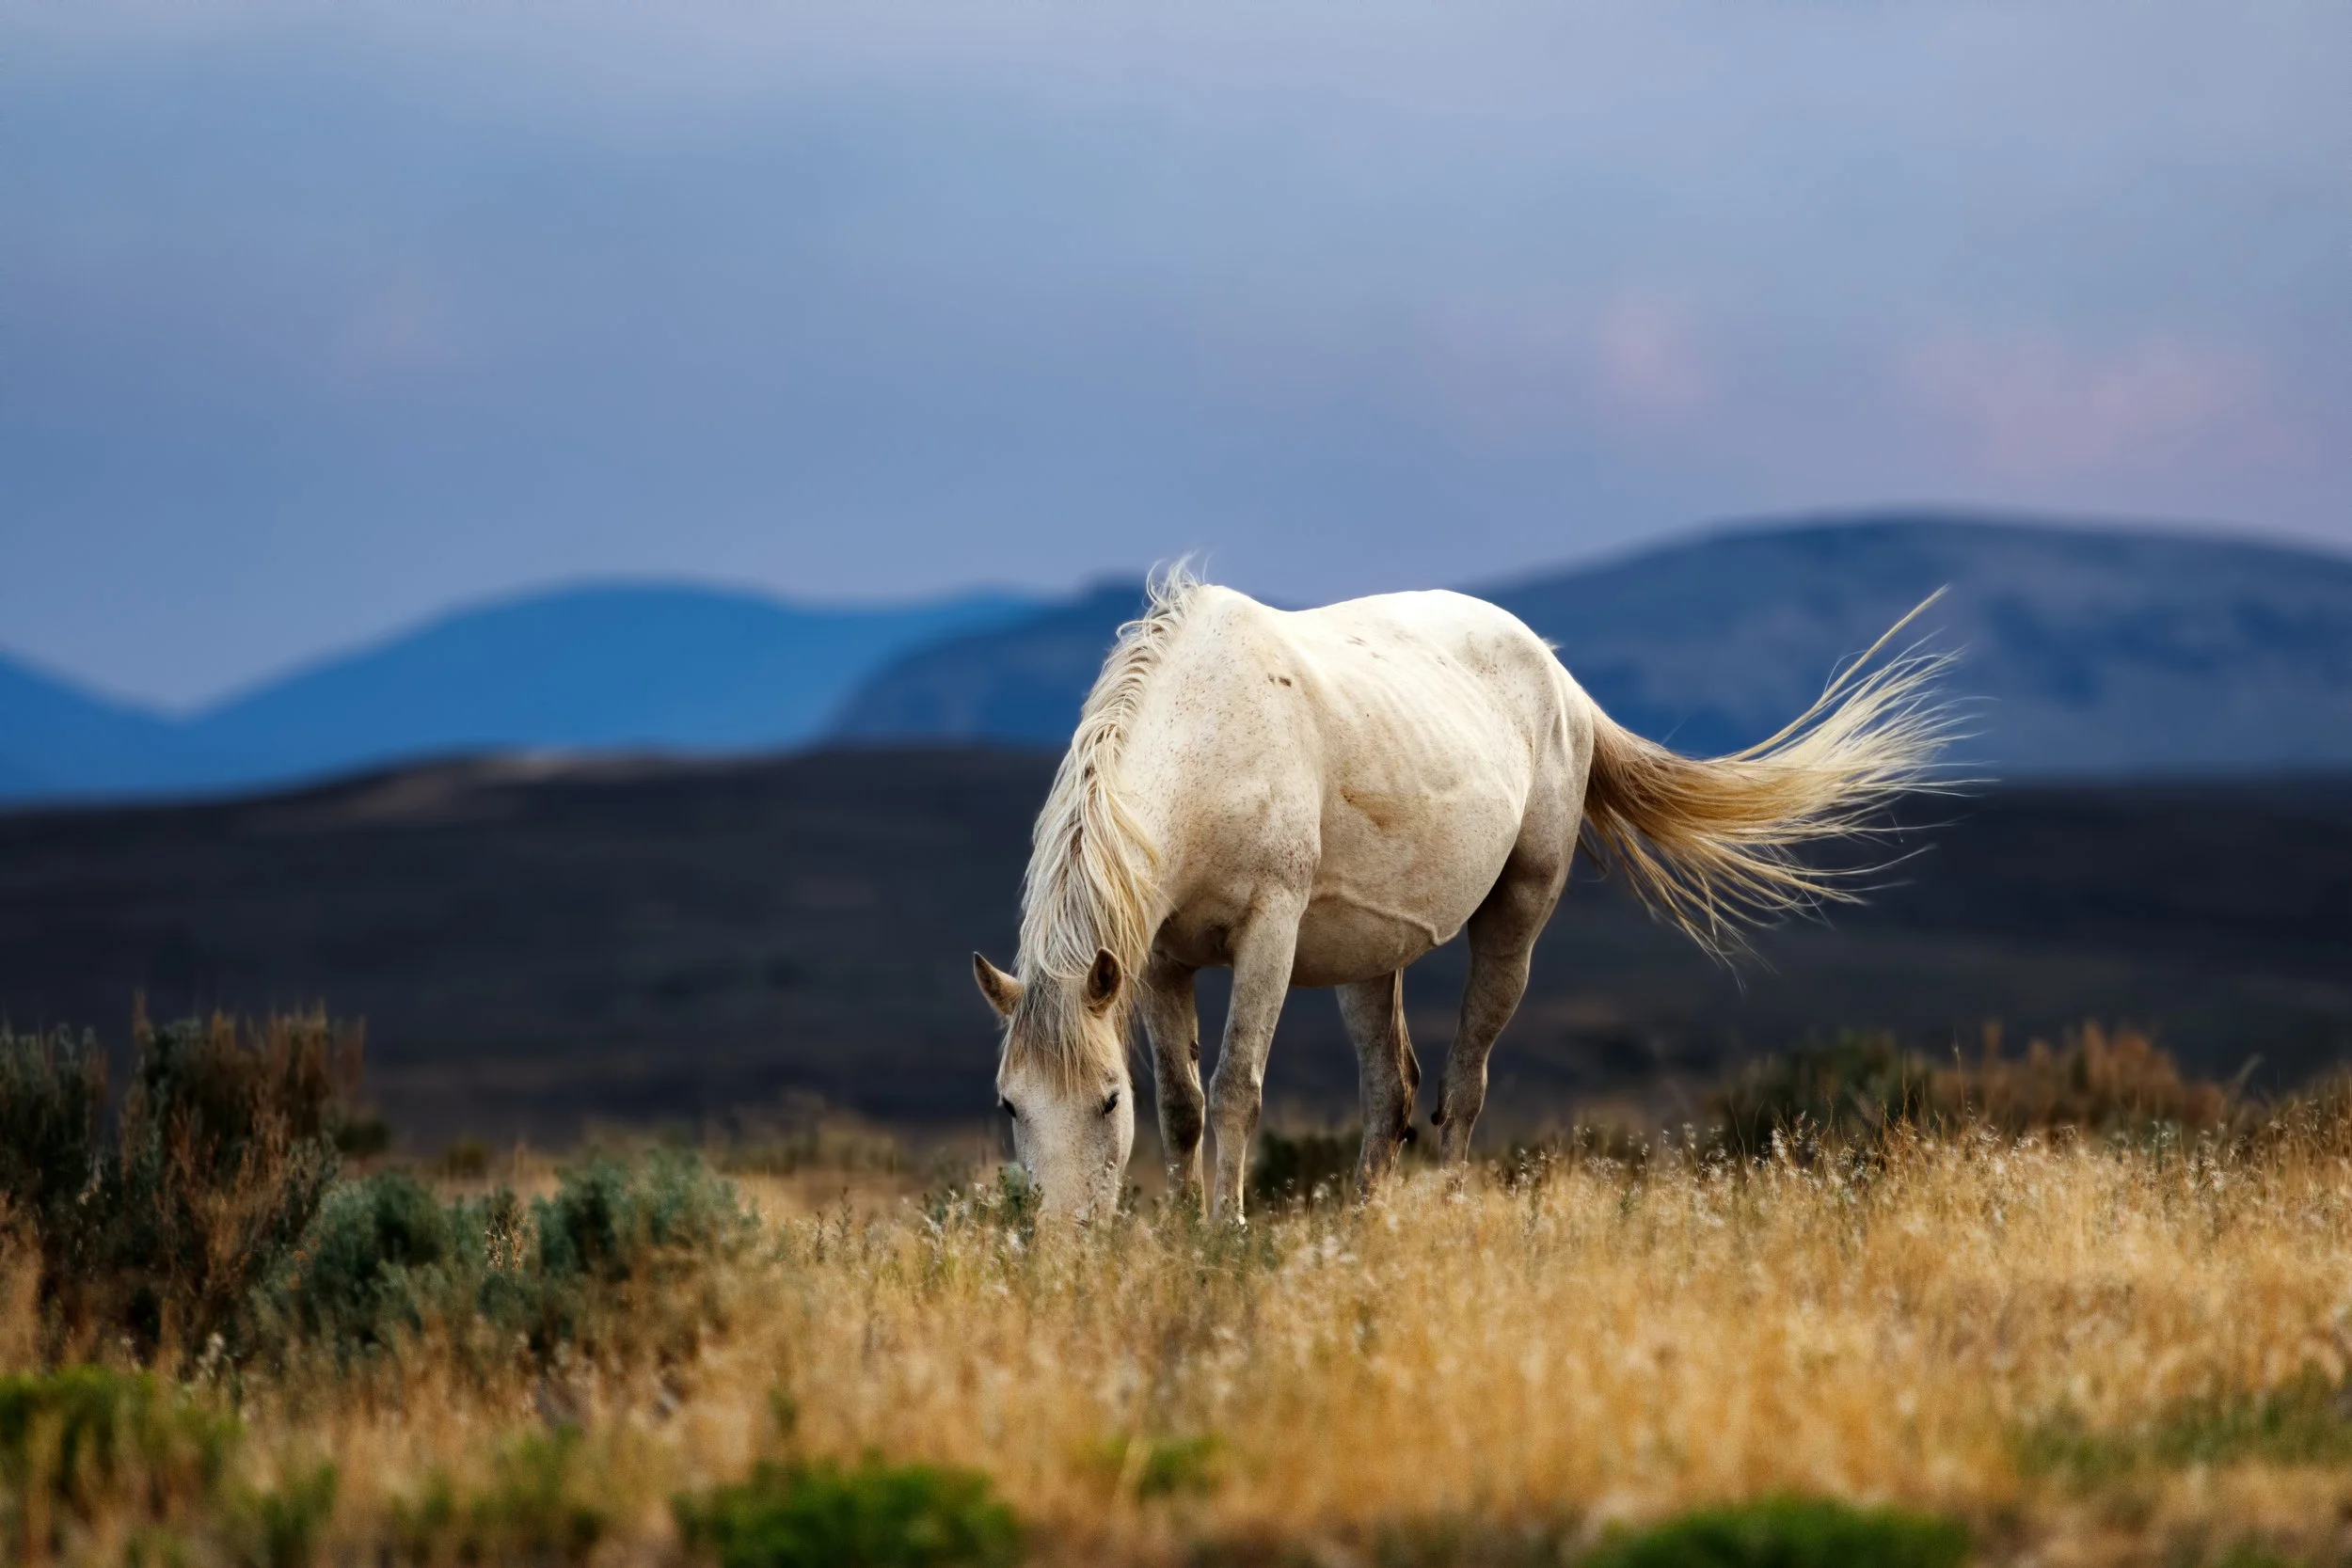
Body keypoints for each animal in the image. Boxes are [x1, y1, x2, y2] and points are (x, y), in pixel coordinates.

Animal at [972, 568, 1951, 1221]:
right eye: (1010, 1104)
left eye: (1106, 1101)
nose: (1062, 1252)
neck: (1212, 732)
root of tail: (1559, 676)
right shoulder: (1162, 959)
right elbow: (1183, 1103)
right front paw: (1179, 1241)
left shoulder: (1268, 934)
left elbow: (1237, 1085)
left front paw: (1224, 1235)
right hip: (1368, 957)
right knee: (1391, 1095)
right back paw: (1362, 1234)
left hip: (1514, 920)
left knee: (1463, 1085)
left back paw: (1440, 1215)